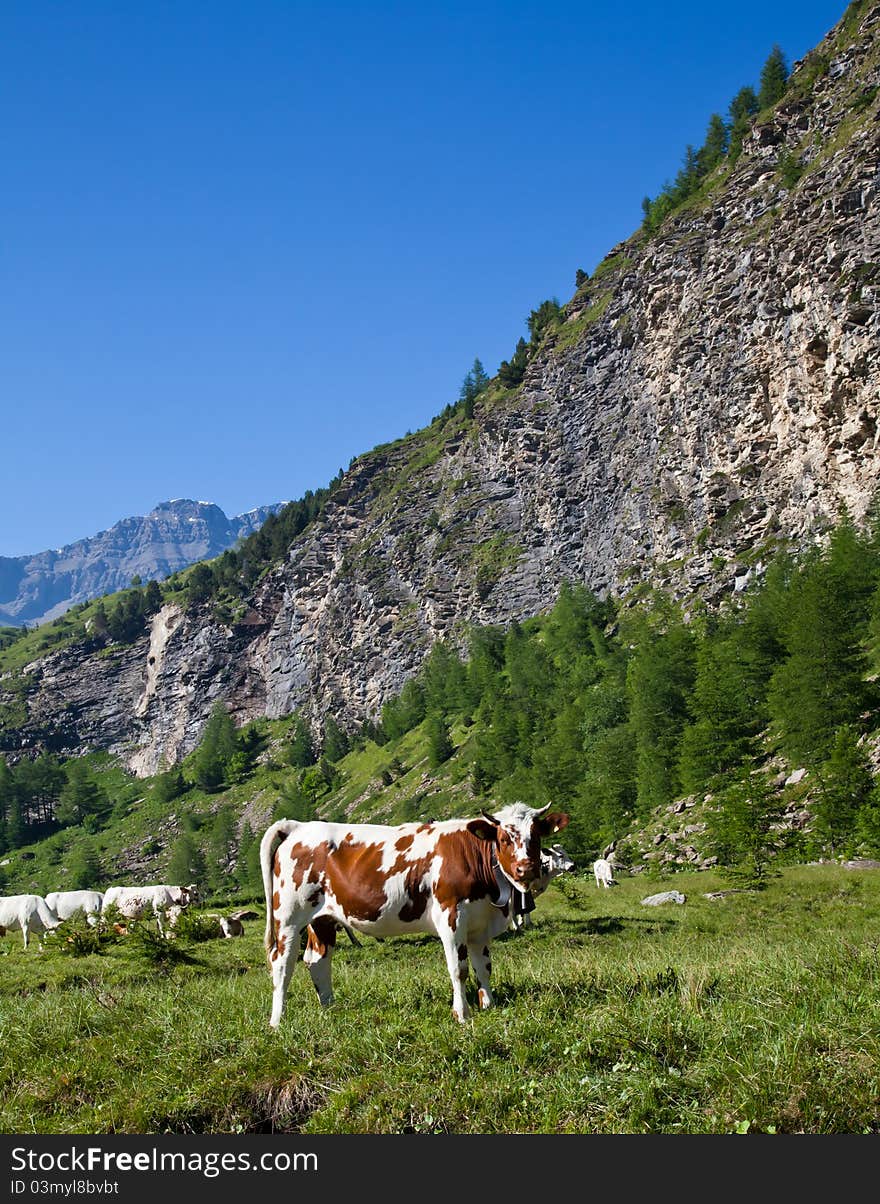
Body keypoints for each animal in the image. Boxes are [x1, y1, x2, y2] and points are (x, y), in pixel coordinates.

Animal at [260, 799, 570, 1025]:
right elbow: (459, 969)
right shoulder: (451, 918)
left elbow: (484, 967)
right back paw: (278, 1020)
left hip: (322, 918)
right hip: (288, 917)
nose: (525, 869)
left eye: (536, 837)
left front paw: (489, 1005)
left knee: (317, 959)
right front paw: (463, 1014)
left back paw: (329, 1009)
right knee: (282, 962)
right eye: (504, 838)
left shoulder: (480, 924)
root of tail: (298, 827)